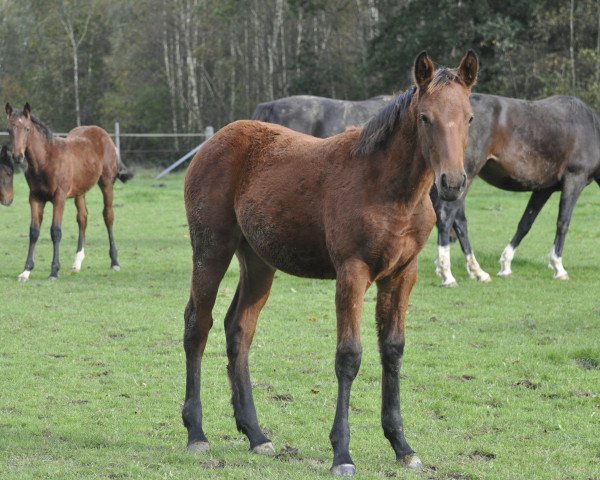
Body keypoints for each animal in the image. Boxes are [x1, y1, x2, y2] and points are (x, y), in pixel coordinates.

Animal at [5, 102, 133, 282]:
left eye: (27, 129)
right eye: (9, 129)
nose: (17, 156)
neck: (46, 160)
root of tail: (105, 136)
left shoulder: (59, 197)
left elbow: (55, 231)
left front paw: (53, 271)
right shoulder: (35, 198)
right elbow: (34, 231)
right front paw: (26, 271)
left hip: (107, 184)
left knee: (108, 216)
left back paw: (114, 262)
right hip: (80, 191)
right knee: (82, 218)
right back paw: (77, 263)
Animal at [434, 94, 600, 284]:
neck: (591, 128)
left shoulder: (543, 189)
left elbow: (525, 224)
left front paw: (506, 265)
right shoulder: (574, 180)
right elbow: (563, 223)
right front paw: (558, 267)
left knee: (458, 220)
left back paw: (476, 271)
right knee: (447, 214)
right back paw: (447, 274)